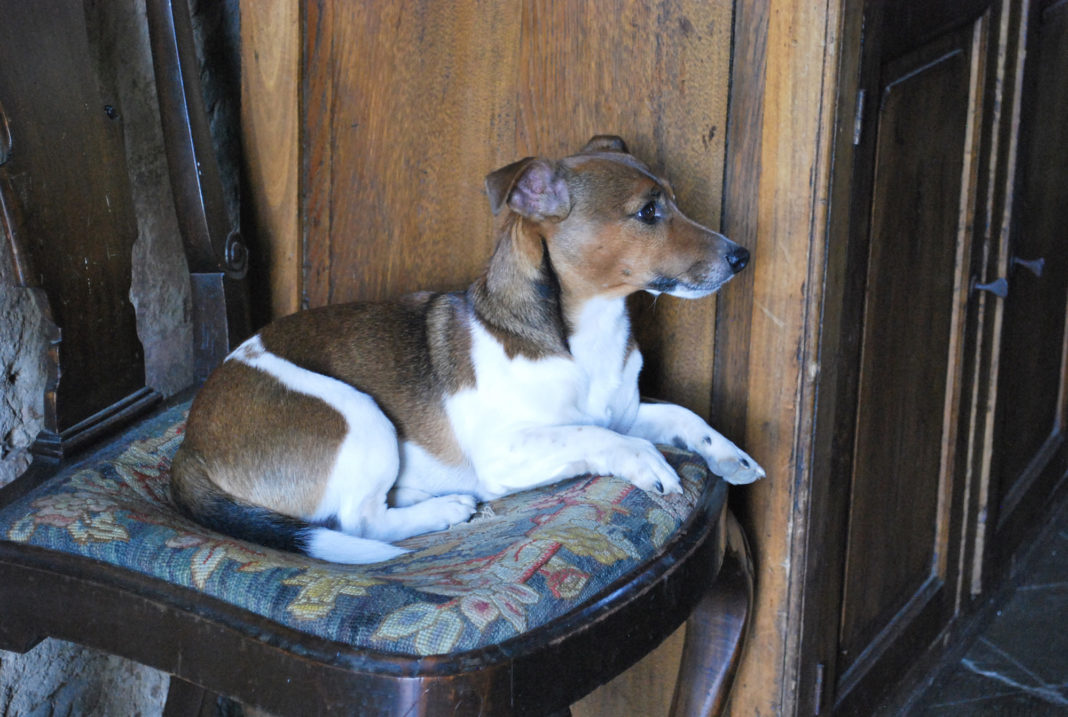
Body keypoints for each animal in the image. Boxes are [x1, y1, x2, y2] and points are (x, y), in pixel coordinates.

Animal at [170, 133, 764, 559]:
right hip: (357, 416)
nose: (742, 256)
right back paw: (445, 509)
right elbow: (596, 435)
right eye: (648, 212)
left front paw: (729, 455)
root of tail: (188, 447)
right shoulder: (509, 449)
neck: (584, 335)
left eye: (675, 202)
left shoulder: (626, 410)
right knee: (360, 520)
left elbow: (681, 417)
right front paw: (646, 463)